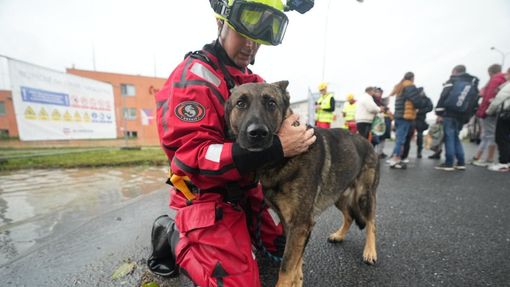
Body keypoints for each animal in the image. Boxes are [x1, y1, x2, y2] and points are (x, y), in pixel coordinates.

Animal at [225, 81, 380, 287]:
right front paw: (298, 279)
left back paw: (370, 251)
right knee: (349, 216)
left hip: (364, 195)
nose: (257, 133)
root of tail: (367, 141)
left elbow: (286, 266)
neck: (281, 159)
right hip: (338, 195)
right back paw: (339, 235)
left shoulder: (300, 224)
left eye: (271, 103)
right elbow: (295, 261)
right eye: (240, 104)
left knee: (371, 223)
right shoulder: (291, 224)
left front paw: (289, 281)